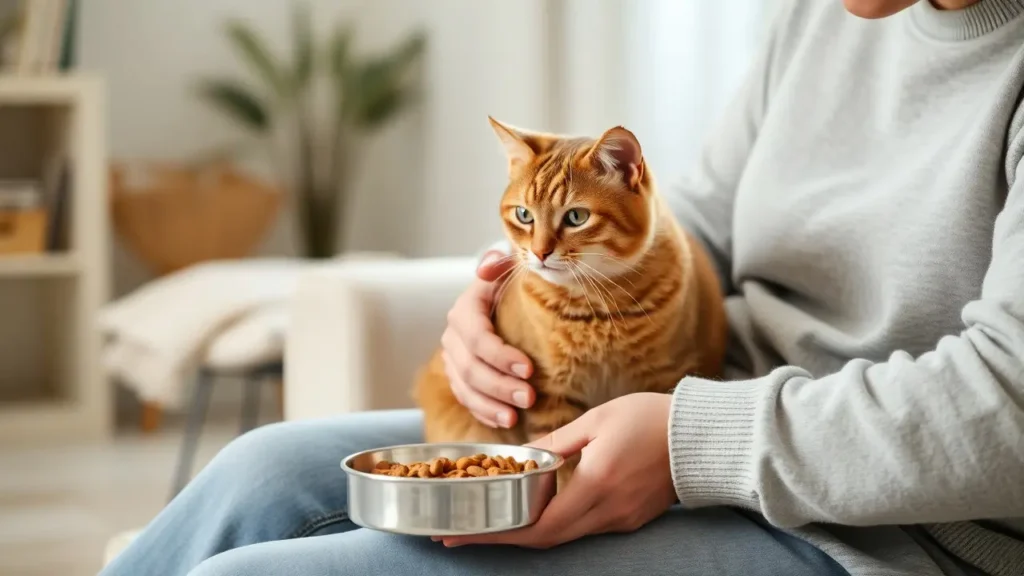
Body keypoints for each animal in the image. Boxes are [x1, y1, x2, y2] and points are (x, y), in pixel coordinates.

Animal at [411, 118, 724, 485]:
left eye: (576, 217)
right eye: (524, 215)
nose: (539, 252)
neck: (598, 308)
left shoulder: (663, 378)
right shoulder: (550, 394)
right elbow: (564, 469)